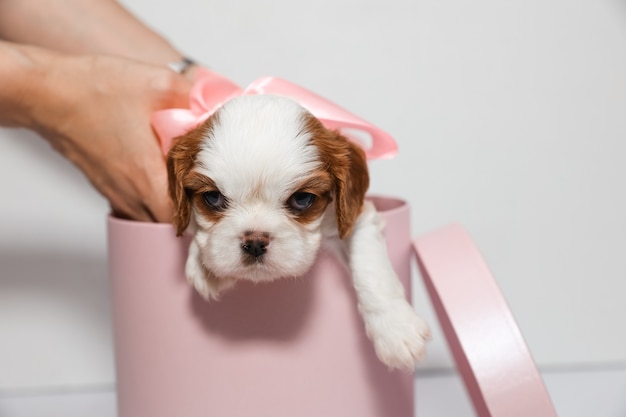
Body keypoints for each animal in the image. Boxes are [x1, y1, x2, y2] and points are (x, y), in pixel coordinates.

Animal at [166, 93, 428, 368]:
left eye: (302, 199)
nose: (256, 241)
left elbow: (370, 266)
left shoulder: (355, 215)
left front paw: (396, 329)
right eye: (213, 197)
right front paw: (205, 267)